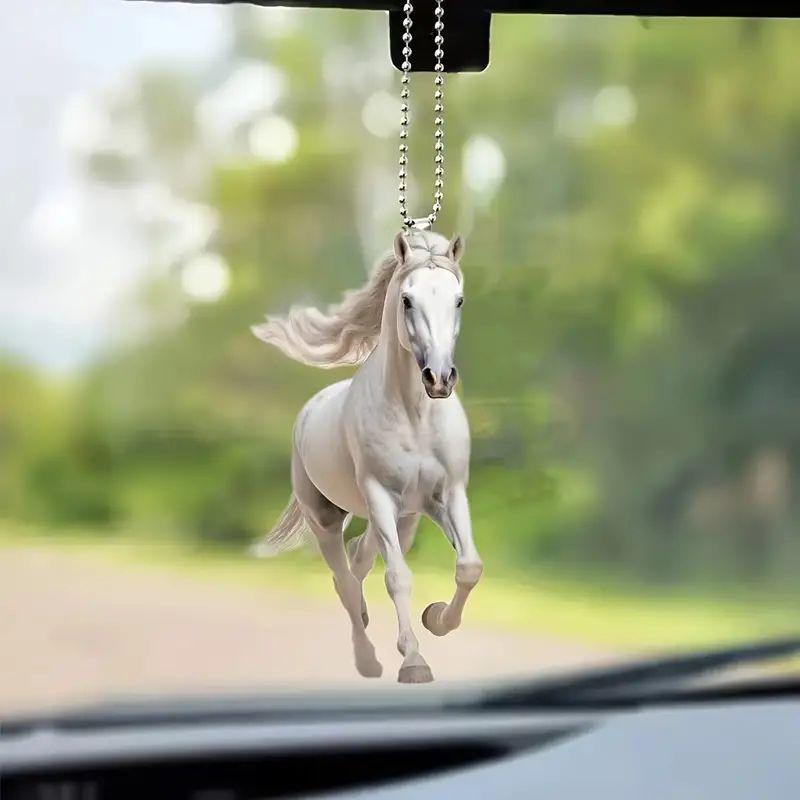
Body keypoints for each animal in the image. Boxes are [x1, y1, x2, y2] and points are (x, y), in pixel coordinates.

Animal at [251, 229, 482, 684]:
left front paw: (436, 618)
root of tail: (307, 412)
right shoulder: (377, 494)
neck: (415, 417)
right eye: (407, 299)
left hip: (407, 517)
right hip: (325, 517)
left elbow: (468, 567)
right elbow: (397, 577)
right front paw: (413, 662)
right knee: (343, 577)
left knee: (360, 557)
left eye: (459, 300)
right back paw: (368, 660)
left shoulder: (449, 493)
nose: (440, 379)